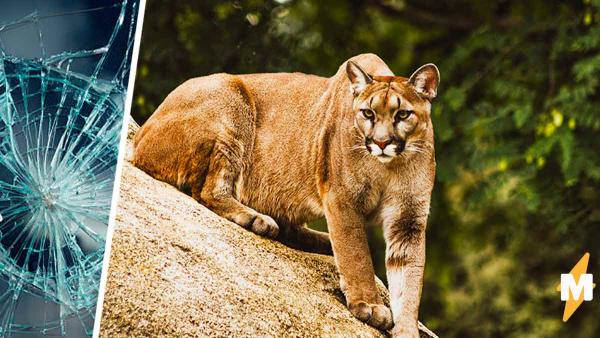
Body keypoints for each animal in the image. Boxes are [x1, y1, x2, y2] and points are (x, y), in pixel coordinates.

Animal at [134, 54, 438, 336]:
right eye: (368, 114)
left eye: (402, 115)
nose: (381, 142)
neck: (390, 167)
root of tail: (139, 138)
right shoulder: (343, 200)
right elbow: (356, 256)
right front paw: (370, 306)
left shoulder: (408, 221)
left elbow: (409, 281)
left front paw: (406, 329)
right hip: (230, 102)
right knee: (208, 190)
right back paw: (257, 220)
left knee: (290, 227)